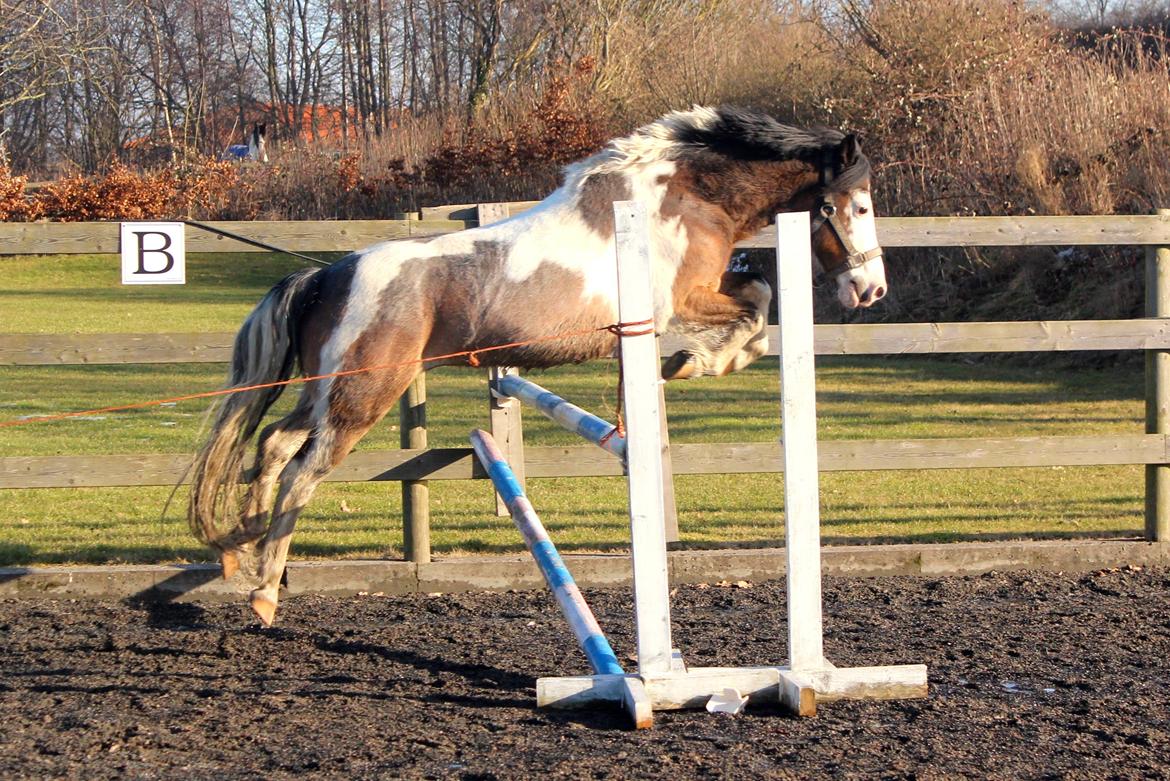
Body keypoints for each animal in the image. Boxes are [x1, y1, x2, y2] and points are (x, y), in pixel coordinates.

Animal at [189, 105, 884, 626]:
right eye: (857, 206)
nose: (870, 290)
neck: (681, 199)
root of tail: (327, 274)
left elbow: (757, 303)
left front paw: (697, 361)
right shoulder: (680, 301)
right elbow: (758, 304)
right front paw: (693, 362)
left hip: (323, 391)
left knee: (273, 445)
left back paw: (244, 549)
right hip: (365, 393)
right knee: (302, 471)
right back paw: (264, 592)